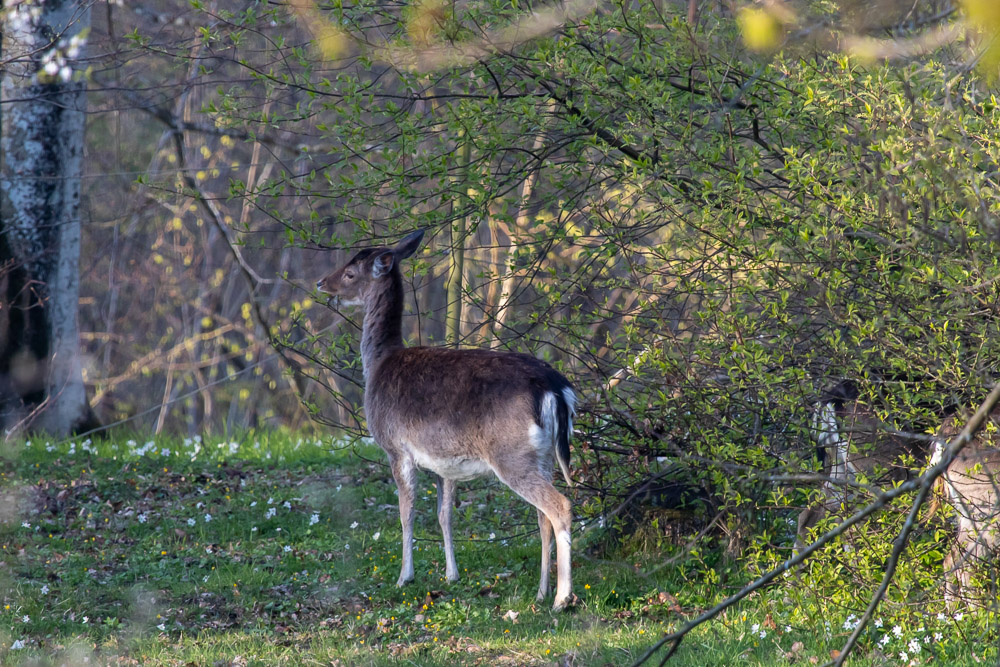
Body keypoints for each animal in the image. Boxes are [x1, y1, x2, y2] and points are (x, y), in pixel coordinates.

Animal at [316, 230, 576, 612]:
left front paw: (404, 576)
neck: (378, 365)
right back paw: (541, 592)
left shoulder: (396, 448)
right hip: (543, 456)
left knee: (560, 506)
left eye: (350, 273)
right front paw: (451, 575)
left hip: (511, 454)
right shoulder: (445, 462)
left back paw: (561, 598)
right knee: (542, 515)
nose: (322, 282)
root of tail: (556, 389)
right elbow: (445, 514)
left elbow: (406, 512)